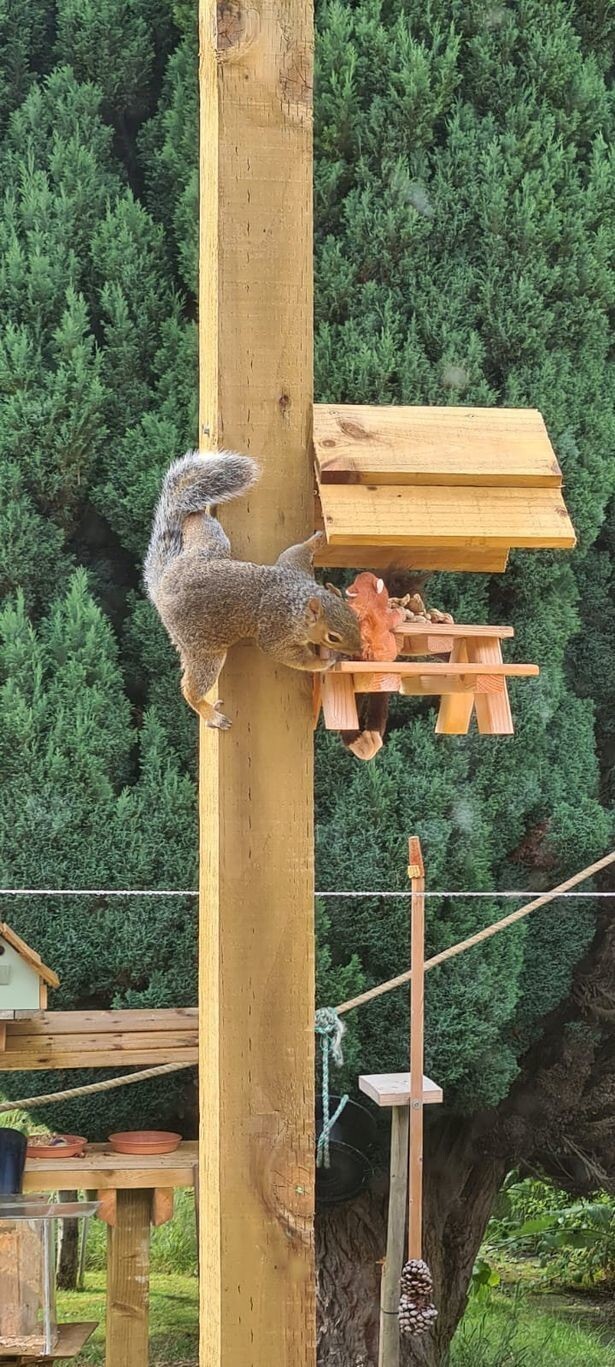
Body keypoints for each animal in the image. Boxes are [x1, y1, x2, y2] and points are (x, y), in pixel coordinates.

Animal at [143, 451, 360, 732]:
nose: (359, 650)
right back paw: (210, 714)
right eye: (333, 637)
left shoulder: (294, 568)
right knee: (190, 688)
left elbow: (296, 550)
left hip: (209, 547)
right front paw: (324, 663)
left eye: (354, 615)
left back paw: (194, 511)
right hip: (204, 649)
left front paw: (320, 538)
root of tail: (162, 587)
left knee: (198, 525)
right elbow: (285, 654)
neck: (299, 600)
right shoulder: (277, 630)